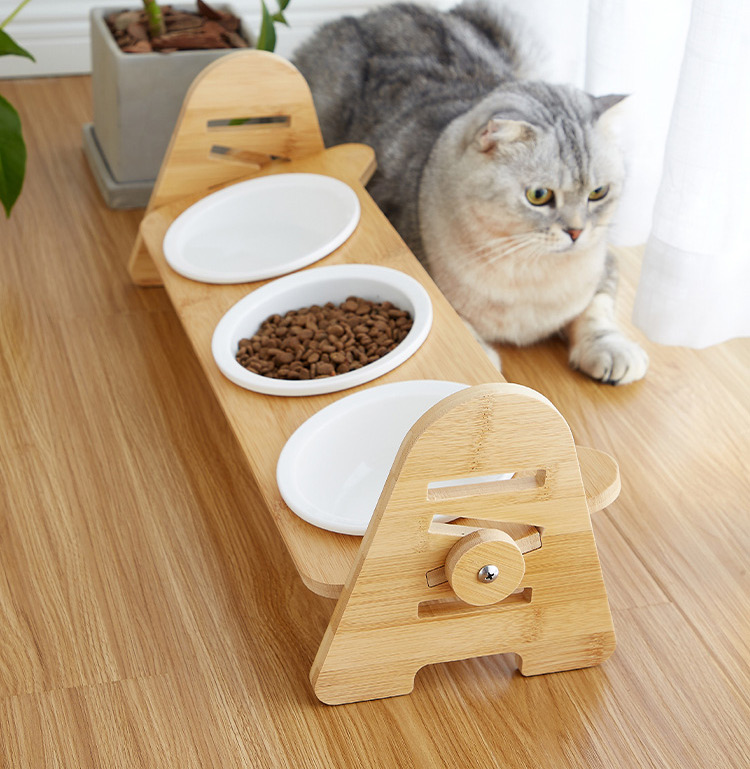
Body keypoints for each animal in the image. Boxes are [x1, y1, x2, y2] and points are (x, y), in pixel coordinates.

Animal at [293, 1, 649, 384]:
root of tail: (370, 15)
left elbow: (597, 309)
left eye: (598, 192)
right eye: (539, 195)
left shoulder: (605, 264)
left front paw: (612, 349)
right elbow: (465, 329)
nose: (577, 232)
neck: (529, 273)